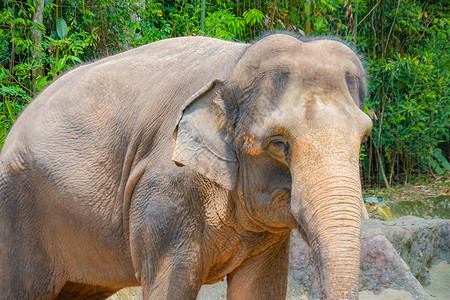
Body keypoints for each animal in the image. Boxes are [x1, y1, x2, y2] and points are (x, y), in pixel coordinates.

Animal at [0, 34, 372, 298]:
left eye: (364, 136)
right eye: (279, 144)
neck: (236, 65)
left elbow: (259, 287)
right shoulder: (166, 194)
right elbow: (172, 284)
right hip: (17, 212)